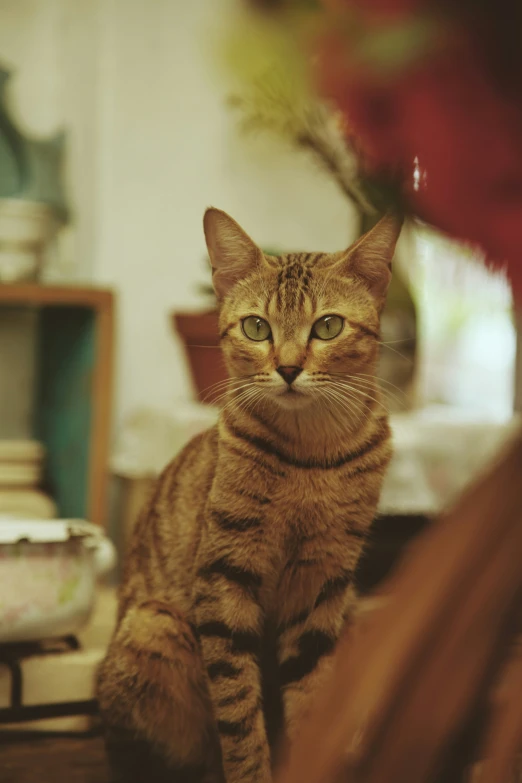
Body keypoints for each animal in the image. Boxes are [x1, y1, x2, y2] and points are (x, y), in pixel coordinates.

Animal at [96, 207, 398, 783]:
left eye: (328, 326)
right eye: (257, 327)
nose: (288, 368)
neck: (311, 456)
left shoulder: (324, 584)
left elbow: (311, 696)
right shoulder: (224, 580)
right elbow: (238, 715)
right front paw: (253, 768)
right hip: (154, 626)